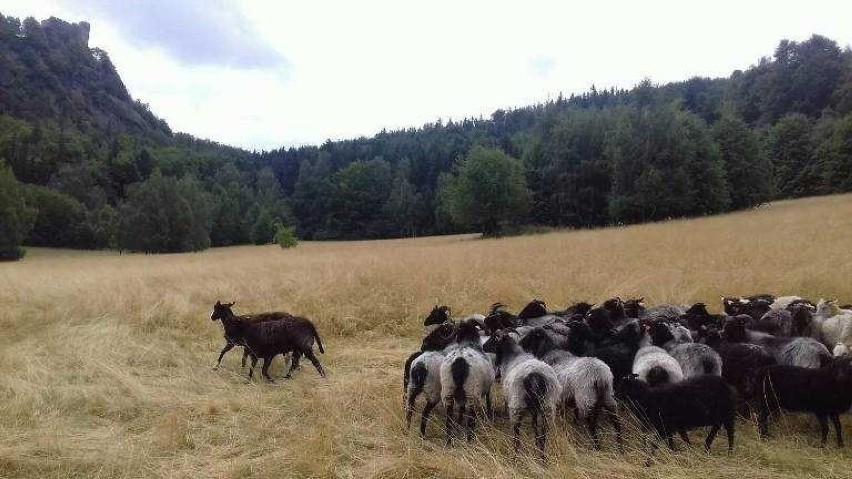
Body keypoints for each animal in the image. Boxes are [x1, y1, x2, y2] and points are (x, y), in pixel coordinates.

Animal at [440, 320, 492, 448]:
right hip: (472, 391)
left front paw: (459, 424)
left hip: (447, 390)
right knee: (471, 418)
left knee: (449, 418)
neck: (468, 342)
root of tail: (460, 359)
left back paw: (449, 442)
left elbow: (461, 410)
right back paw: (470, 440)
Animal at [482, 330, 564, 458]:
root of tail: (535, 375)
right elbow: (534, 424)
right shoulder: (535, 408)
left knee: (516, 429)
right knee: (544, 430)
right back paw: (541, 454)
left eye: (494, 338)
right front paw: (536, 443)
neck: (512, 356)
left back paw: (516, 454)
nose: (483, 346)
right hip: (547, 404)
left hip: (517, 403)